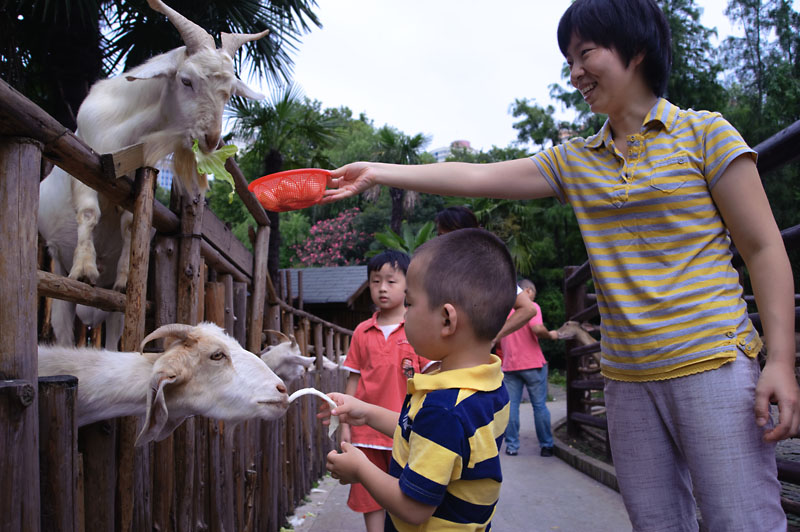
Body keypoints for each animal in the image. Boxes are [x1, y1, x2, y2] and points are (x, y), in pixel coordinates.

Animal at [39, 0, 268, 350]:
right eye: (186, 81)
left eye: (229, 92)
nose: (211, 139)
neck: (125, 132)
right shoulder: (82, 162)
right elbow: (89, 211)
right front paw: (86, 268)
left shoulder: (139, 180)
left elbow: (130, 224)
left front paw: (123, 276)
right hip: (57, 268)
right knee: (63, 326)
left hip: (114, 313)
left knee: (116, 329)